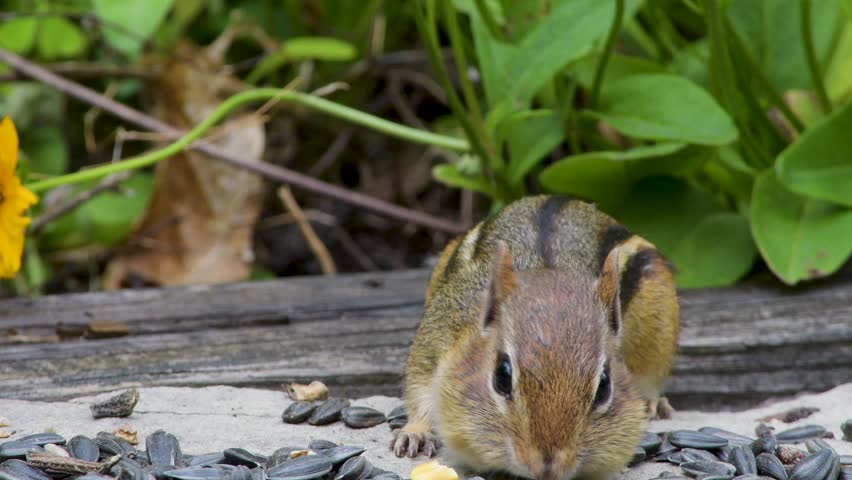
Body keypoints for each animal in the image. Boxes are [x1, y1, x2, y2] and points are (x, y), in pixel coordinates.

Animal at [391, 195, 679, 480]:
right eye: (502, 377)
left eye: (604, 387)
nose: (547, 466)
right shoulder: (441, 330)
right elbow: (420, 382)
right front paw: (415, 433)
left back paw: (654, 402)